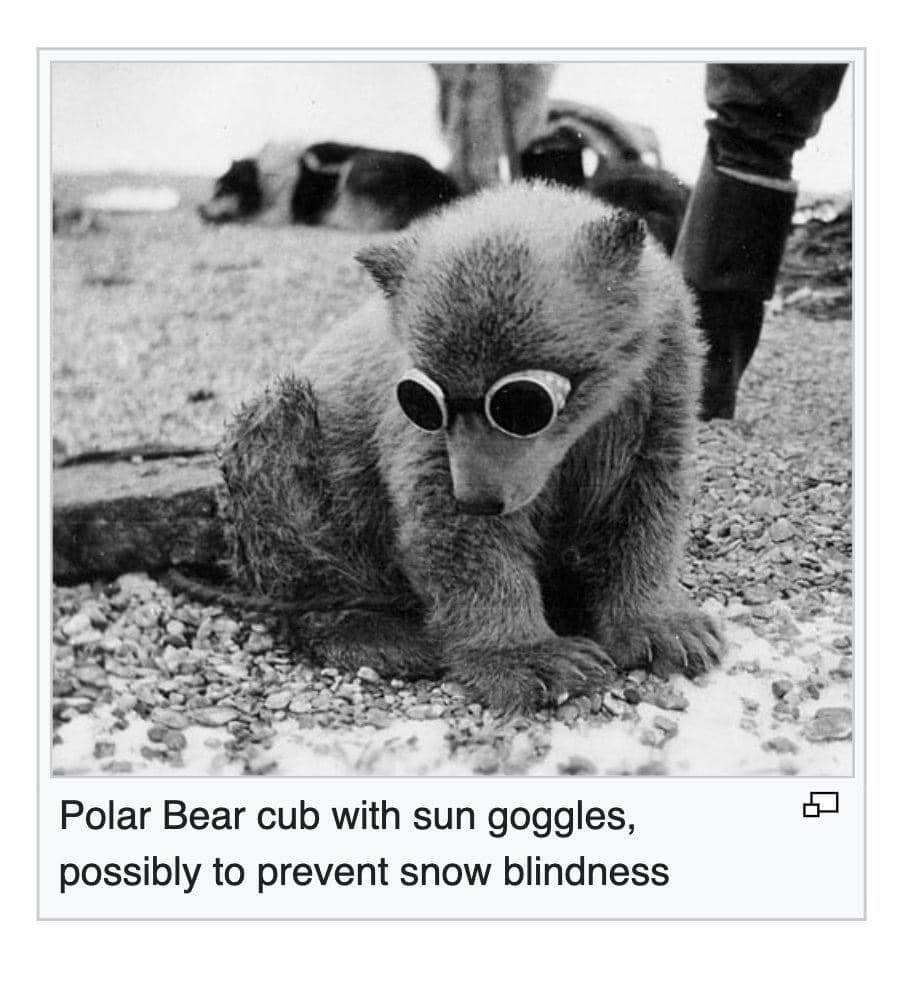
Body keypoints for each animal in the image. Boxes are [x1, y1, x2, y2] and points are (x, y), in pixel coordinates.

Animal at [220, 181, 722, 712]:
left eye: (523, 402)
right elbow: (452, 530)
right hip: (296, 464)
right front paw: (542, 661)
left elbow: (647, 498)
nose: (480, 497)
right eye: (426, 397)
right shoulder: (418, 424)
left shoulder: (659, 384)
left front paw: (670, 632)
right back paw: (382, 634)